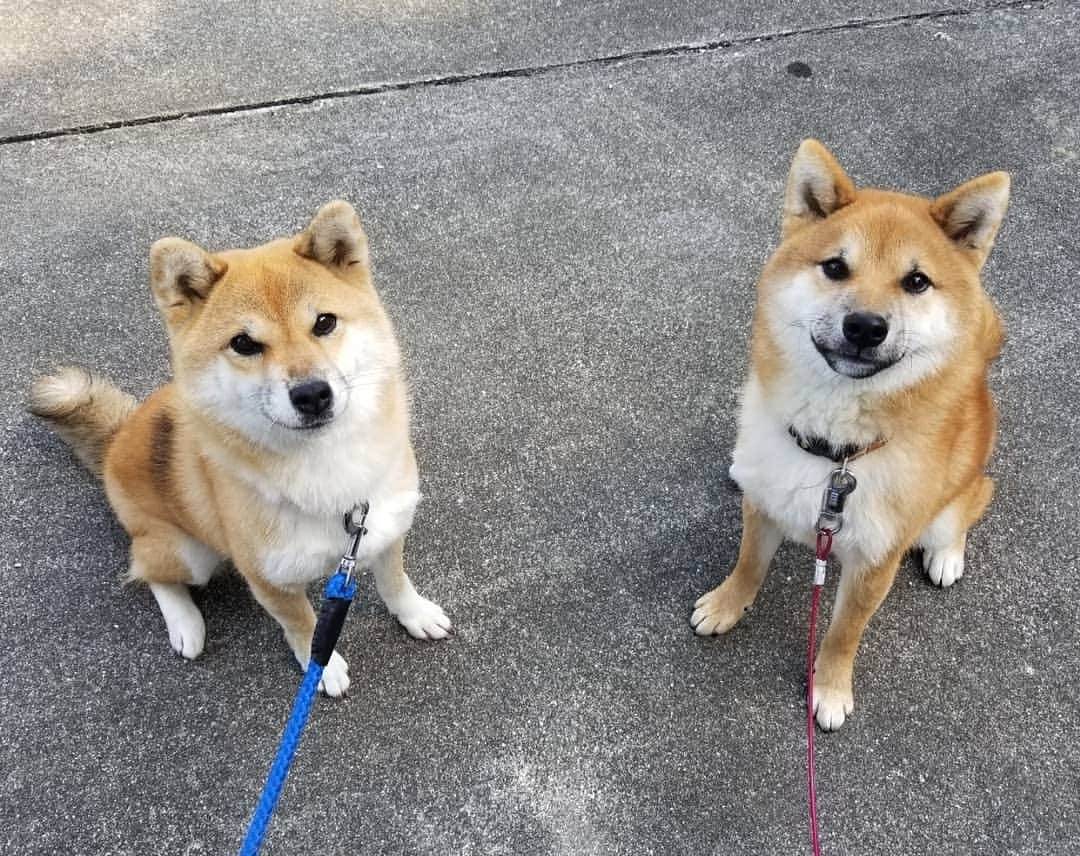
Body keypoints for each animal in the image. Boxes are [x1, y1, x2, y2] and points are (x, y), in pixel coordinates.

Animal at [30, 200, 451, 695]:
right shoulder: (269, 581)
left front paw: (415, 613)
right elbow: (305, 625)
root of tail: (120, 435)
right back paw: (185, 624)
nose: (312, 394)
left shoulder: (382, 528)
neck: (327, 470)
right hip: (187, 551)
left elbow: (395, 582)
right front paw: (321, 667)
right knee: (149, 572)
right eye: (244, 344)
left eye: (324, 322)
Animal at [695, 141, 1006, 729]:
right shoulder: (764, 504)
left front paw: (830, 688)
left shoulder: (873, 562)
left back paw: (947, 554)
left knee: (974, 499)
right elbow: (748, 564)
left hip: (958, 489)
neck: (833, 453)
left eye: (916, 281)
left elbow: (843, 633)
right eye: (836, 267)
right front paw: (727, 604)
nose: (865, 326)